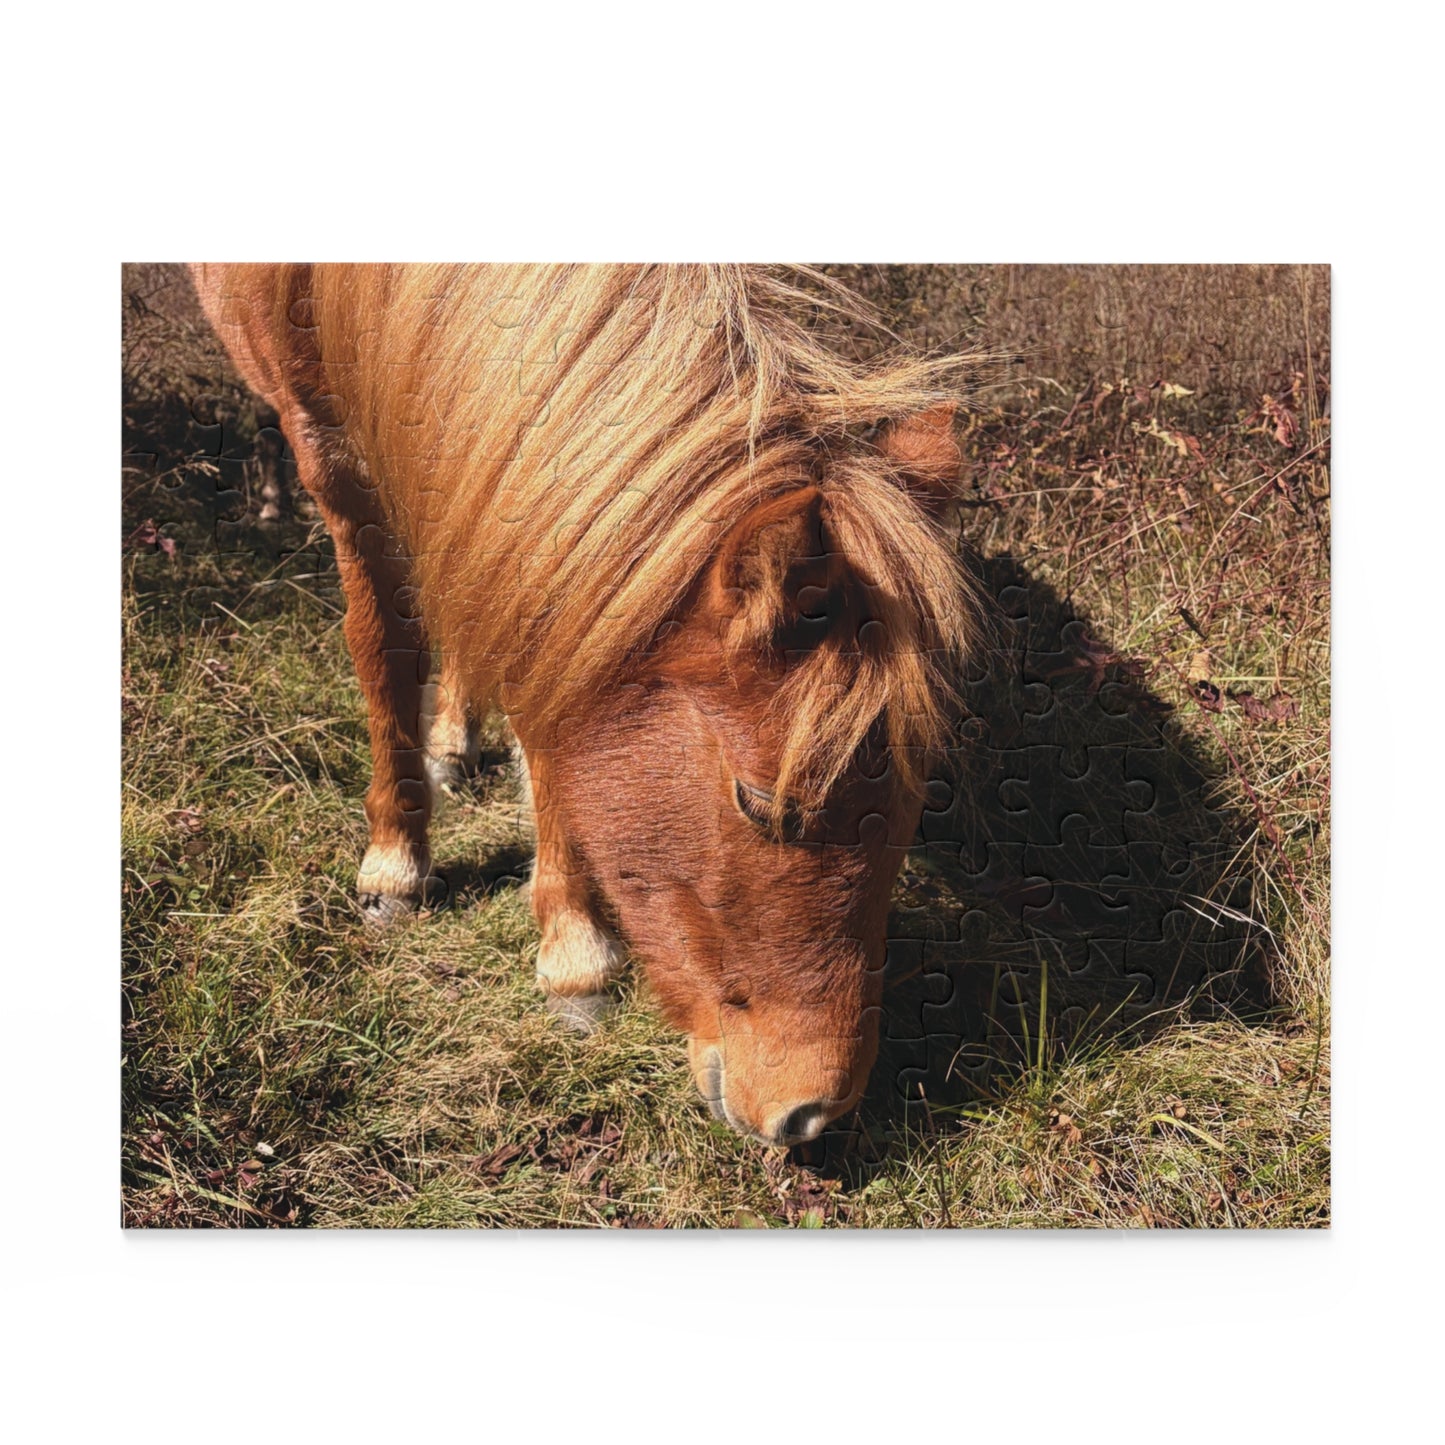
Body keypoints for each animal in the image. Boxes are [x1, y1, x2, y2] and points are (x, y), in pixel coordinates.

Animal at [191, 264, 980, 1148]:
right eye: (761, 803)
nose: (811, 1113)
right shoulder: (325, 445)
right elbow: (384, 644)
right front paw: (397, 862)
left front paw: (570, 948)